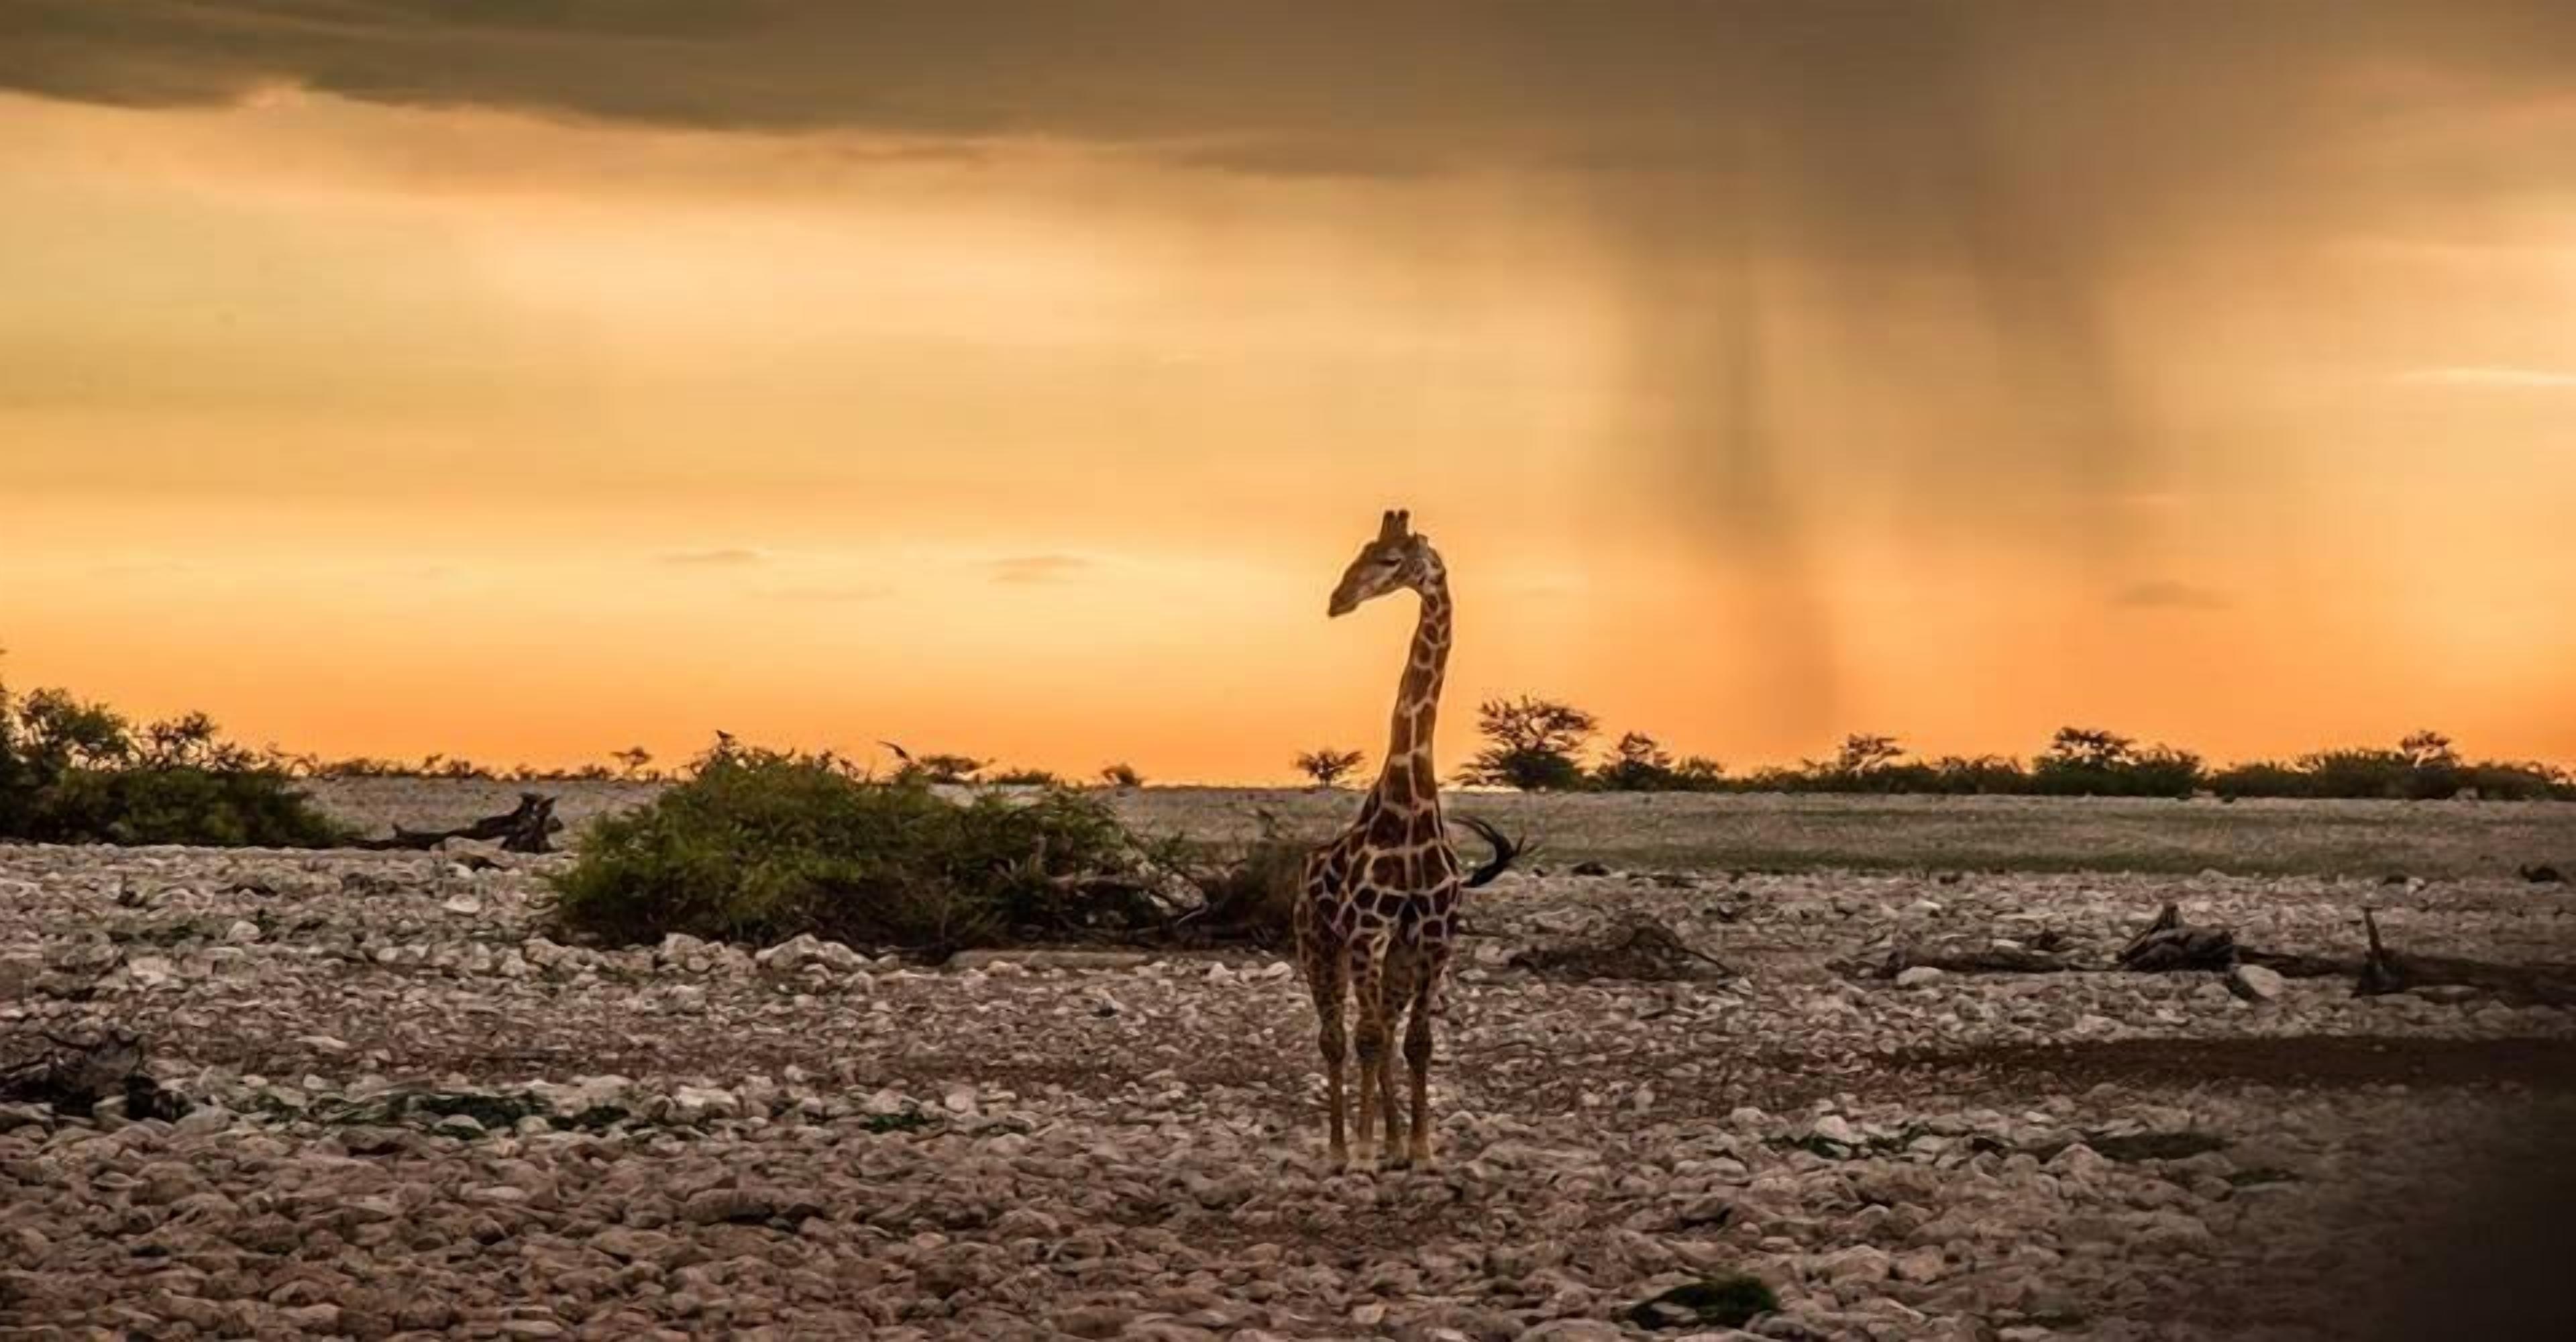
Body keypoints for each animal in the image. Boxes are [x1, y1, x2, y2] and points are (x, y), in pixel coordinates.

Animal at [1295, 507, 1509, 1171]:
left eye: (1390, 560)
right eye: (1359, 552)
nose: (1337, 600)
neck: (1410, 806)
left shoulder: (1434, 935)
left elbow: (1416, 1041)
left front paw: (1417, 1147)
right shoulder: (1367, 928)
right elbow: (1365, 1039)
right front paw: (1365, 1151)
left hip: (1395, 951)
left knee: (1383, 1030)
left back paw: (1389, 1142)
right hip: (1319, 942)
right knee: (1336, 1037)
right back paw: (1341, 1149)